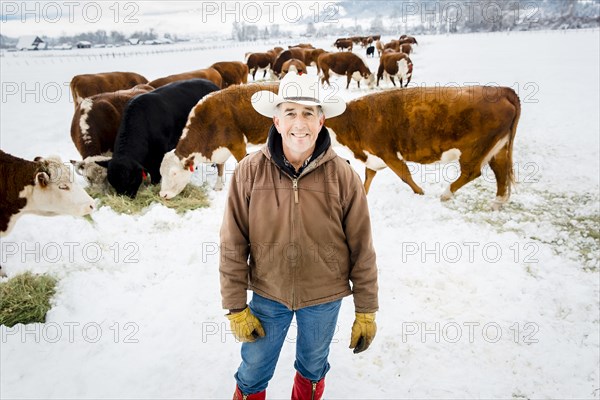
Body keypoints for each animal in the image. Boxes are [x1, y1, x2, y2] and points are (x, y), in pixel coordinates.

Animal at [324, 85, 520, 208]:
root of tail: (502, 90)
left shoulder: (388, 153)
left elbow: (405, 175)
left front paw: (421, 193)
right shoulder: (373, 157)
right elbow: (367, 179)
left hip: (473, 149)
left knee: (472, 172)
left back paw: (446, 194)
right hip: (498, 147)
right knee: (500, 171)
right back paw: (497, 203)